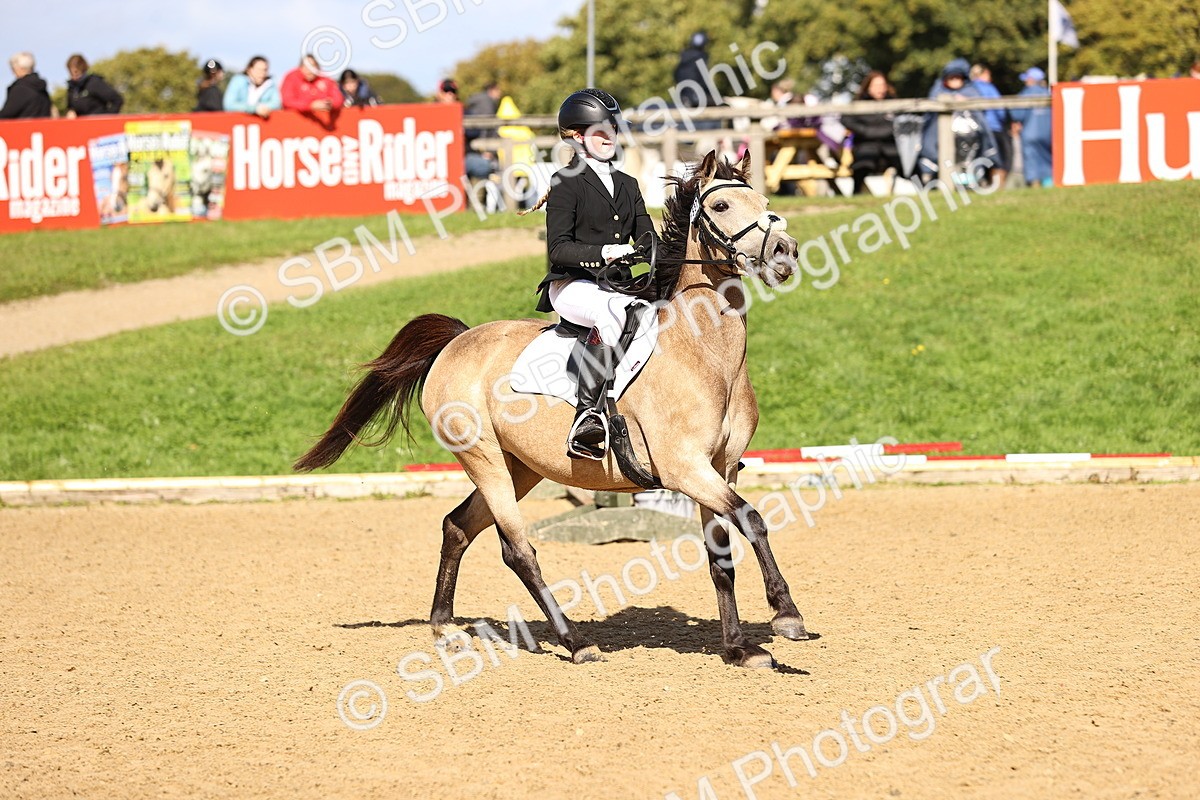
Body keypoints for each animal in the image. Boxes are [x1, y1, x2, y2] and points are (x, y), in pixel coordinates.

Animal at [295, 150, 809, 669]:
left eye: (766, 202)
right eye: (721, 205)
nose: (784, 253)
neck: (704, 351)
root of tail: (458, 339)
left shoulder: (719, 469)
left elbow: (721, 557)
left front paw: (739, 648)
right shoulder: (686, 469)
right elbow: (753, 520)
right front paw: (786, 615)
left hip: (520, 466)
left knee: (457, 527)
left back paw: (444, 628)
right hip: (484, 459)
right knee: (518, 550)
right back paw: (576, 642)